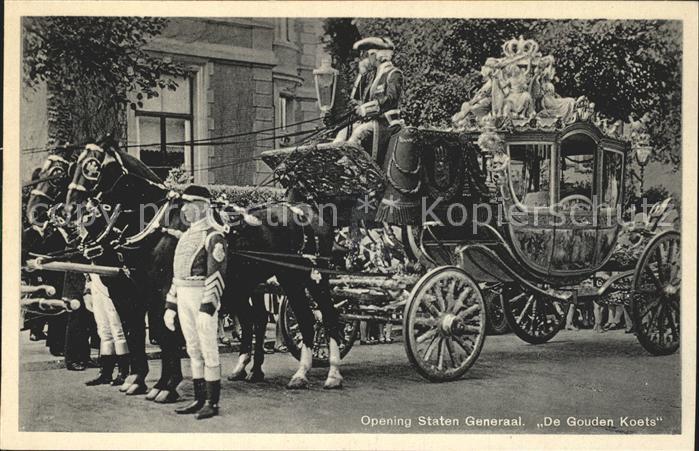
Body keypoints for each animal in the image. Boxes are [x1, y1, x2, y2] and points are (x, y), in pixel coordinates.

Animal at [66, 138, 346, 389]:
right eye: (74, 165)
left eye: (92, 166)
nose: (69, 210)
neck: (160, 223)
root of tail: (307, 210)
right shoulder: (137, 291)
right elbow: (137, 330)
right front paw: (137, 380)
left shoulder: (160, 290)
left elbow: (164, 331)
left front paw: (162, 382)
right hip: (269, 282)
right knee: (272, 319)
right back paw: (264, 371)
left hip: (309, 278)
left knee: (323, 318)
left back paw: (326, 373)